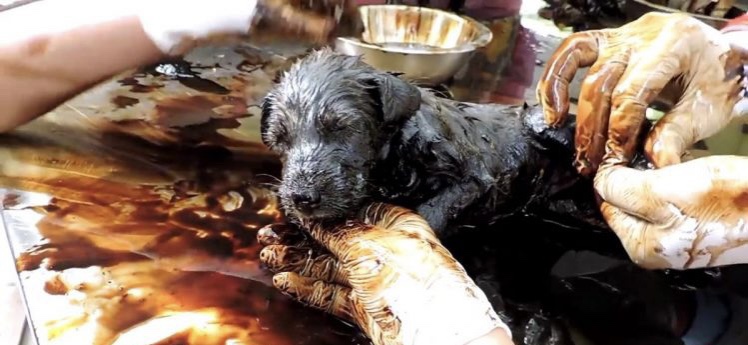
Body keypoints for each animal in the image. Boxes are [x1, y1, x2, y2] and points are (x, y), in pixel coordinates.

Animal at [260, 47, 600, 234]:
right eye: (279, 138)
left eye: (341, 127)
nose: (302, 198)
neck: (395, 164)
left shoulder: (474, 178)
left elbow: (433, 211)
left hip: (544, 124)